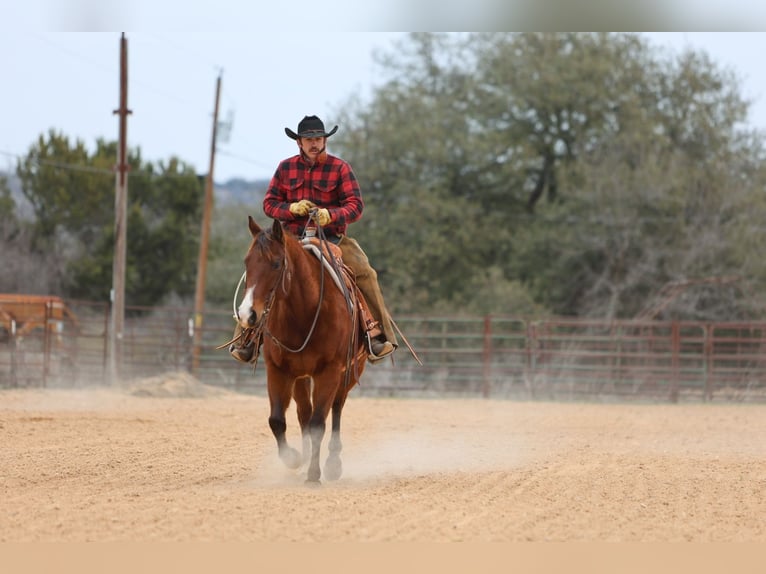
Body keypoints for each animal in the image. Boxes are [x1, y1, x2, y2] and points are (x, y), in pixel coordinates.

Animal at [234, 216, 368, 486]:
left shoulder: (330, 372)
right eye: (246, 262)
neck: (303, 313)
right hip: (300, 377)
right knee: (304, 413)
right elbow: (277, 420)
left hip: (349, 372)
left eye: (276, 263)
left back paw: (332, 464)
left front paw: (314, 475)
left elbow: (319, 423)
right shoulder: (278, 370)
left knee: (336, 408)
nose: (246, 314)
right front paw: (294, 459)